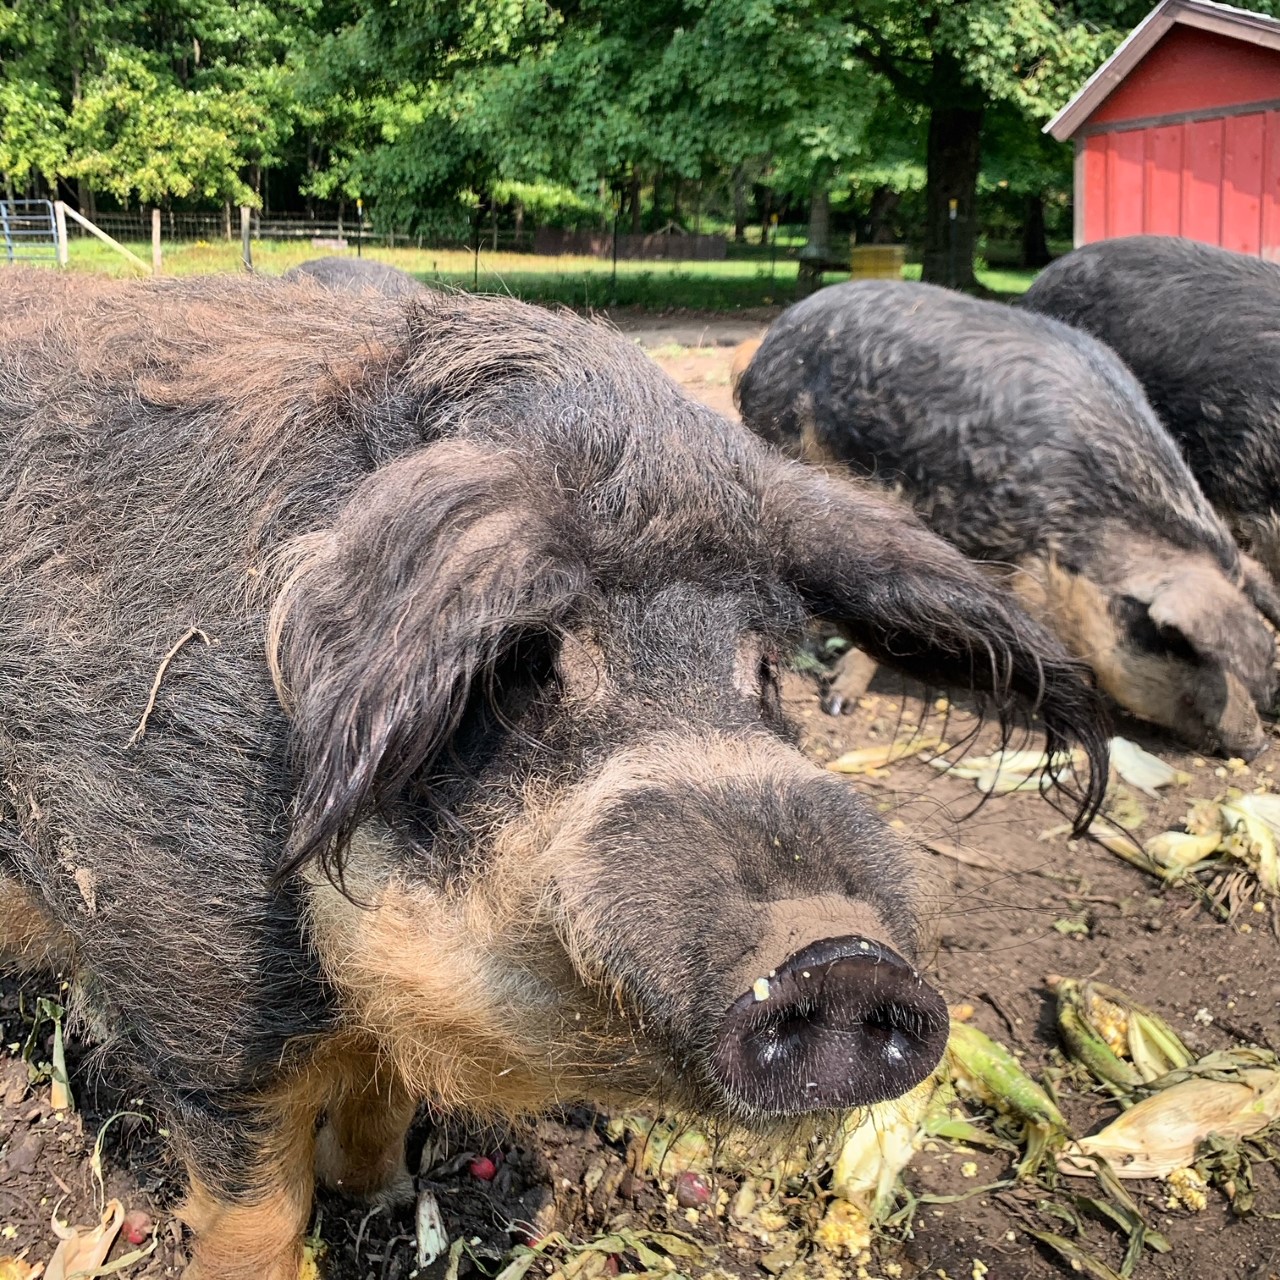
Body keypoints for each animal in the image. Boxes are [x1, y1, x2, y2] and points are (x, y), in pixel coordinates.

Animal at [0, 270, 1108, 1280]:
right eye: (530, 667)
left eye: (764, 668)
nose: (838, 954)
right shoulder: (191, 983)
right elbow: (255, 1204)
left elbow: (379, 1098)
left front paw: (383, 1192)